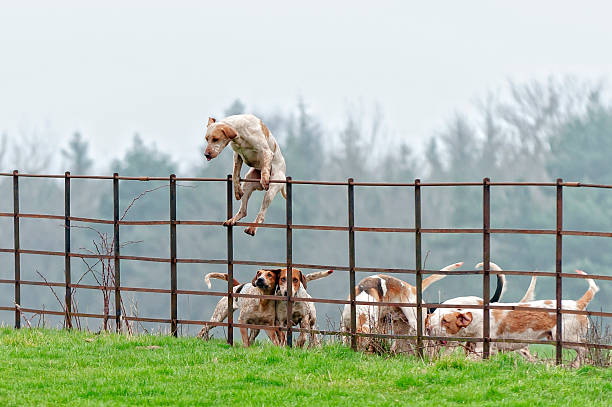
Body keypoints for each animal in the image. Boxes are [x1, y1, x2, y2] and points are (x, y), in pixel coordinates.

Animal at [426, 270, 596, 366]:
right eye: (432, 317)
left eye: (445, 320)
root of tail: (578, 304)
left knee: (584, 348)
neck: (477, 319)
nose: (427, 328)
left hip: (565, 337)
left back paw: (577, 365)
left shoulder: (485, 348)